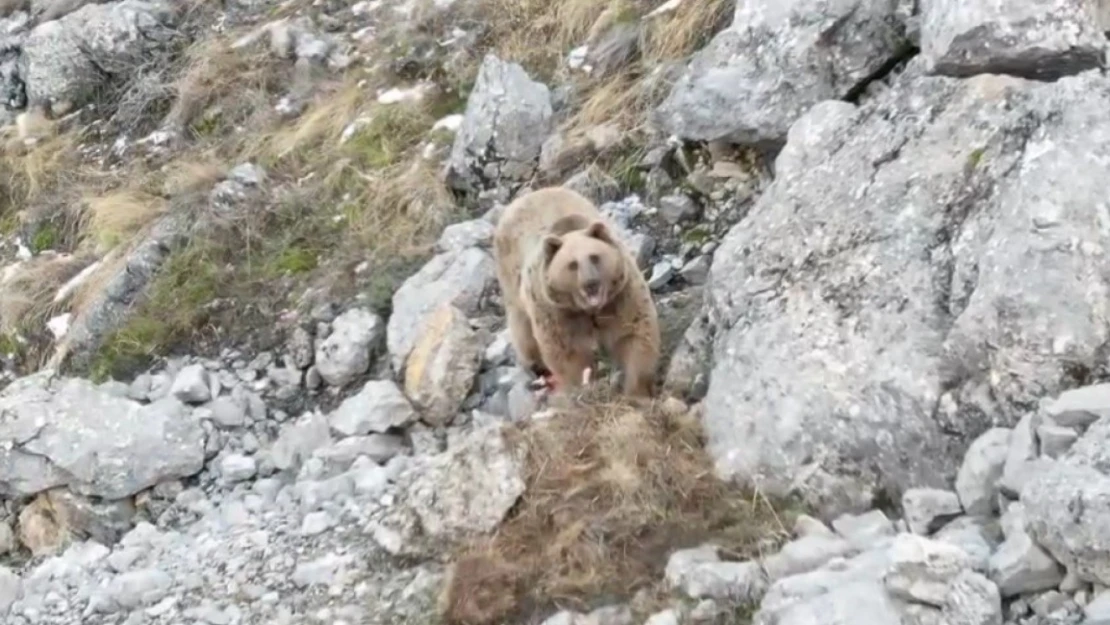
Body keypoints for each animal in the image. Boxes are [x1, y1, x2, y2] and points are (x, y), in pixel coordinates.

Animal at [495, 185, 657, 399]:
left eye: (594, 257)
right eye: (572, 265)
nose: (591, 283)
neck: (590, 310)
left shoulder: (620, 296)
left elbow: (635, 333)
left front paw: (635, 391)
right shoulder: (557, 311)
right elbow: (567, 352)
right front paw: (584, 388)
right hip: (512, 282)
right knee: (523, 330)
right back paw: (537, 367)